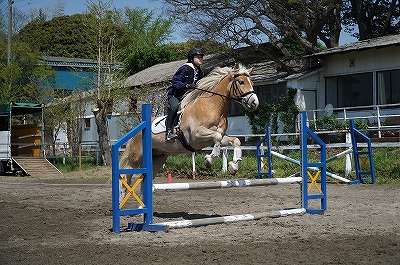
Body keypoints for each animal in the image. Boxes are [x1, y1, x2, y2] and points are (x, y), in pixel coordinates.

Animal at [119, 63, 260, 201]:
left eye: (252, 82)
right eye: (241, 82)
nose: (255, 103)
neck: (212, 106)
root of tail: (136, 130)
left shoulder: (213, 138)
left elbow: (234, 140)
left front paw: (233, 166)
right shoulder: (196, 135)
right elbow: (217, 137)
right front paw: (209, 160)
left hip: (159, 157)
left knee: (144, 180)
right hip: (137, 156)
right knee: (126, 175)